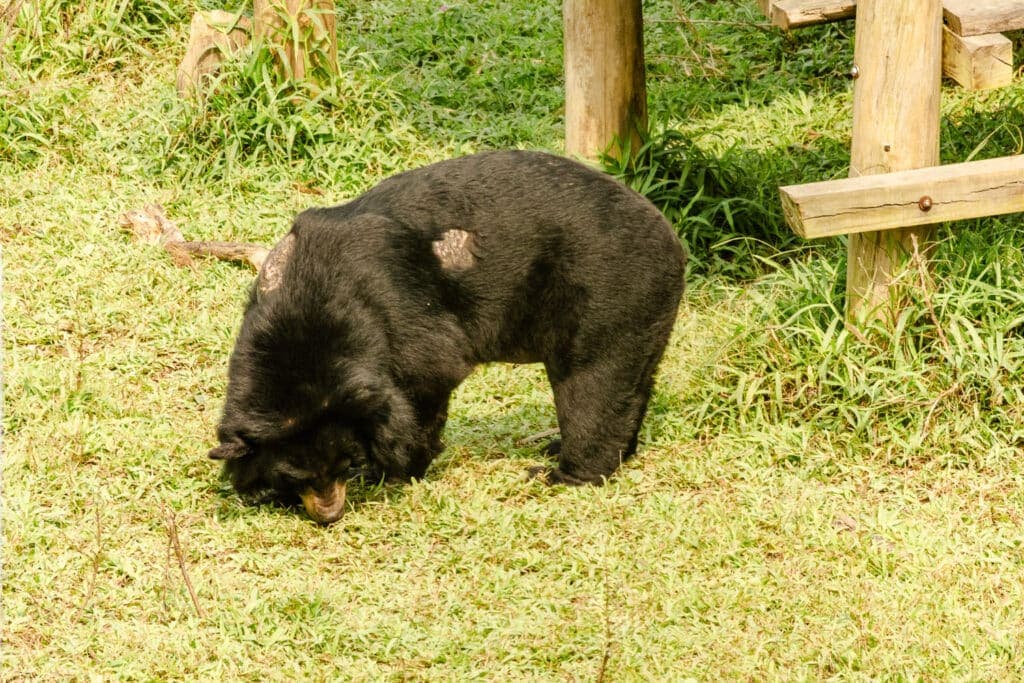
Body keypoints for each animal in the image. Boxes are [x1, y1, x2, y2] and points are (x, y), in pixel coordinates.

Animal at [205, 149, 688, 524]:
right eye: (296, 476)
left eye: (345, 463)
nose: (330, 514)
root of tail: (671, 236)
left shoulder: (398, 311)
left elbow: (428, 375)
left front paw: (397, 467)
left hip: (610, 292)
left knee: (591, 384)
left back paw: (563, 473)